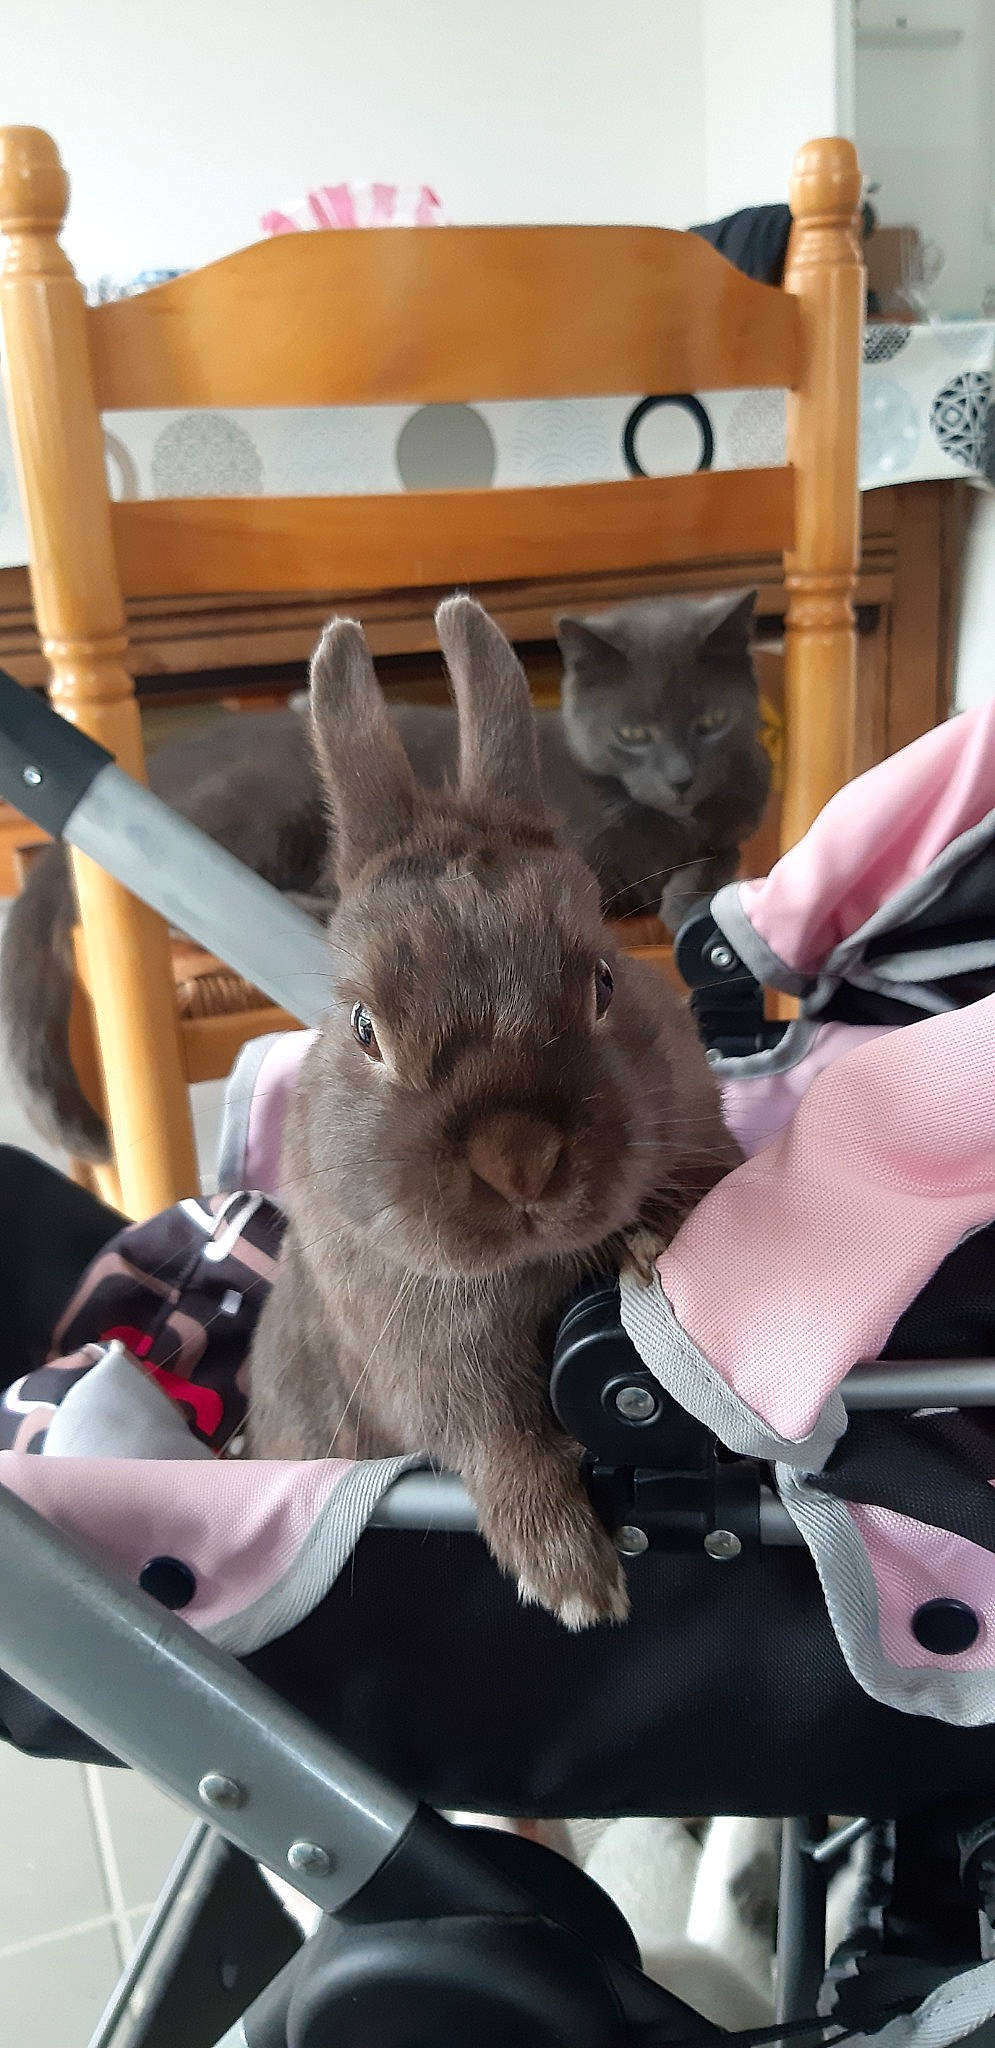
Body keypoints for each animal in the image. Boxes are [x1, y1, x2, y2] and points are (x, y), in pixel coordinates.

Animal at [247, 595, 741, 1628]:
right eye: (366, 1029)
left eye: (603, 982)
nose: (519, 1159)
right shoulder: (430, 1366)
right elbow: (494, 1441)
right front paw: (574, 1583)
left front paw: (654, 1241)